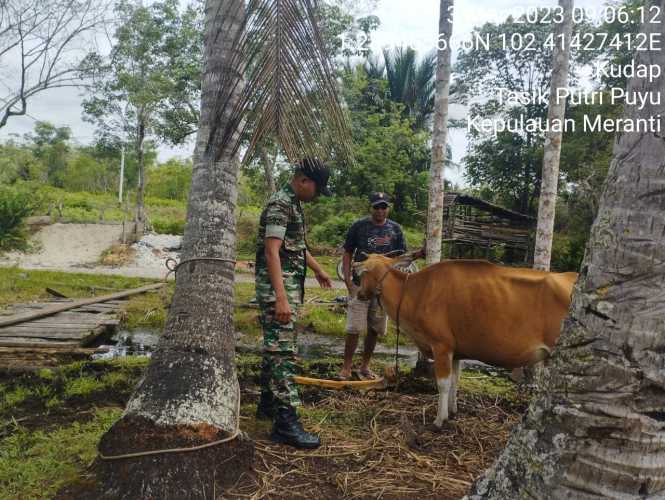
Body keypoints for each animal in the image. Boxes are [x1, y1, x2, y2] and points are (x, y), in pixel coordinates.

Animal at [352, 254, 576, 426]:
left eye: (362, 274)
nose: (360, 293)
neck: (415, 292)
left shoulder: (441, 346)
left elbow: (442, 383)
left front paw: (439, 420)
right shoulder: (456, 352)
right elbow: (454, 381)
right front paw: (452, 411)